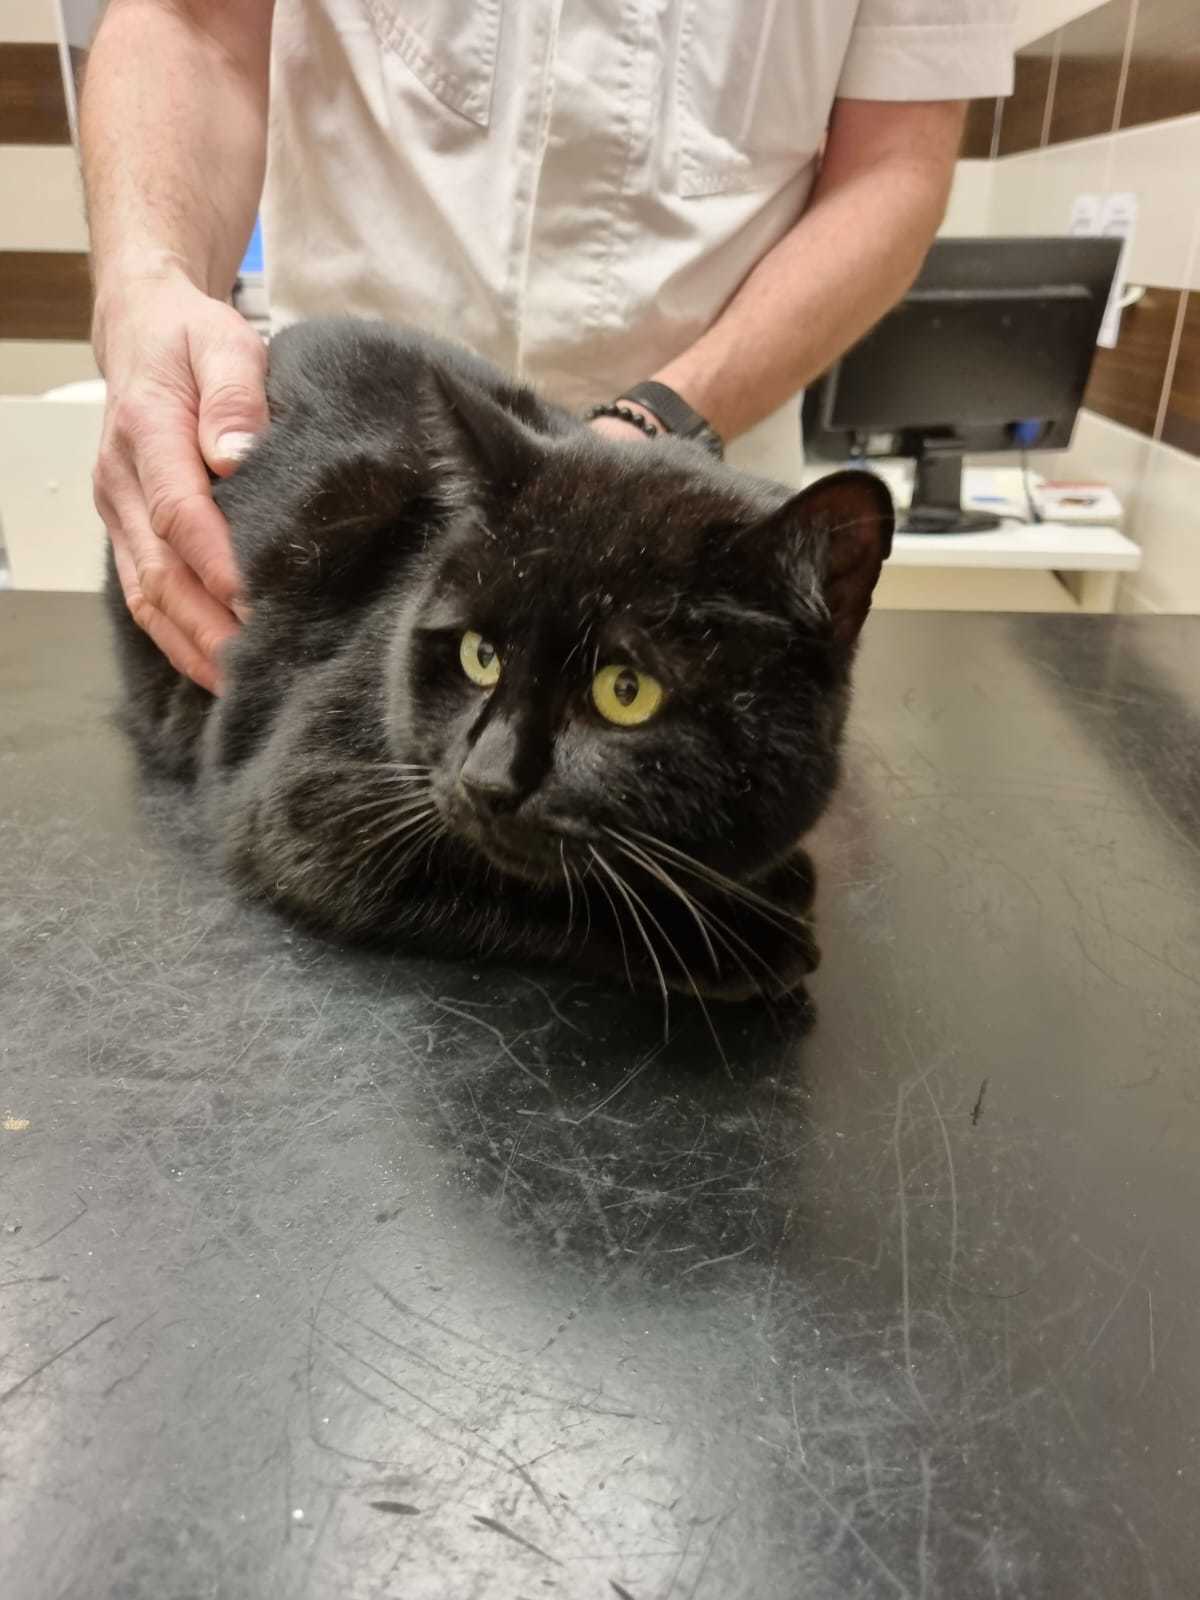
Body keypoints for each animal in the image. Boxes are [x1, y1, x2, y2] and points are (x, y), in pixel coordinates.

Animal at [107, 319, 893, 1004]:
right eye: (480, 655)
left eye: (627, 691)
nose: (487, 781)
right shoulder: (309, 798)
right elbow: (553, 888)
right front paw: (744, 937)